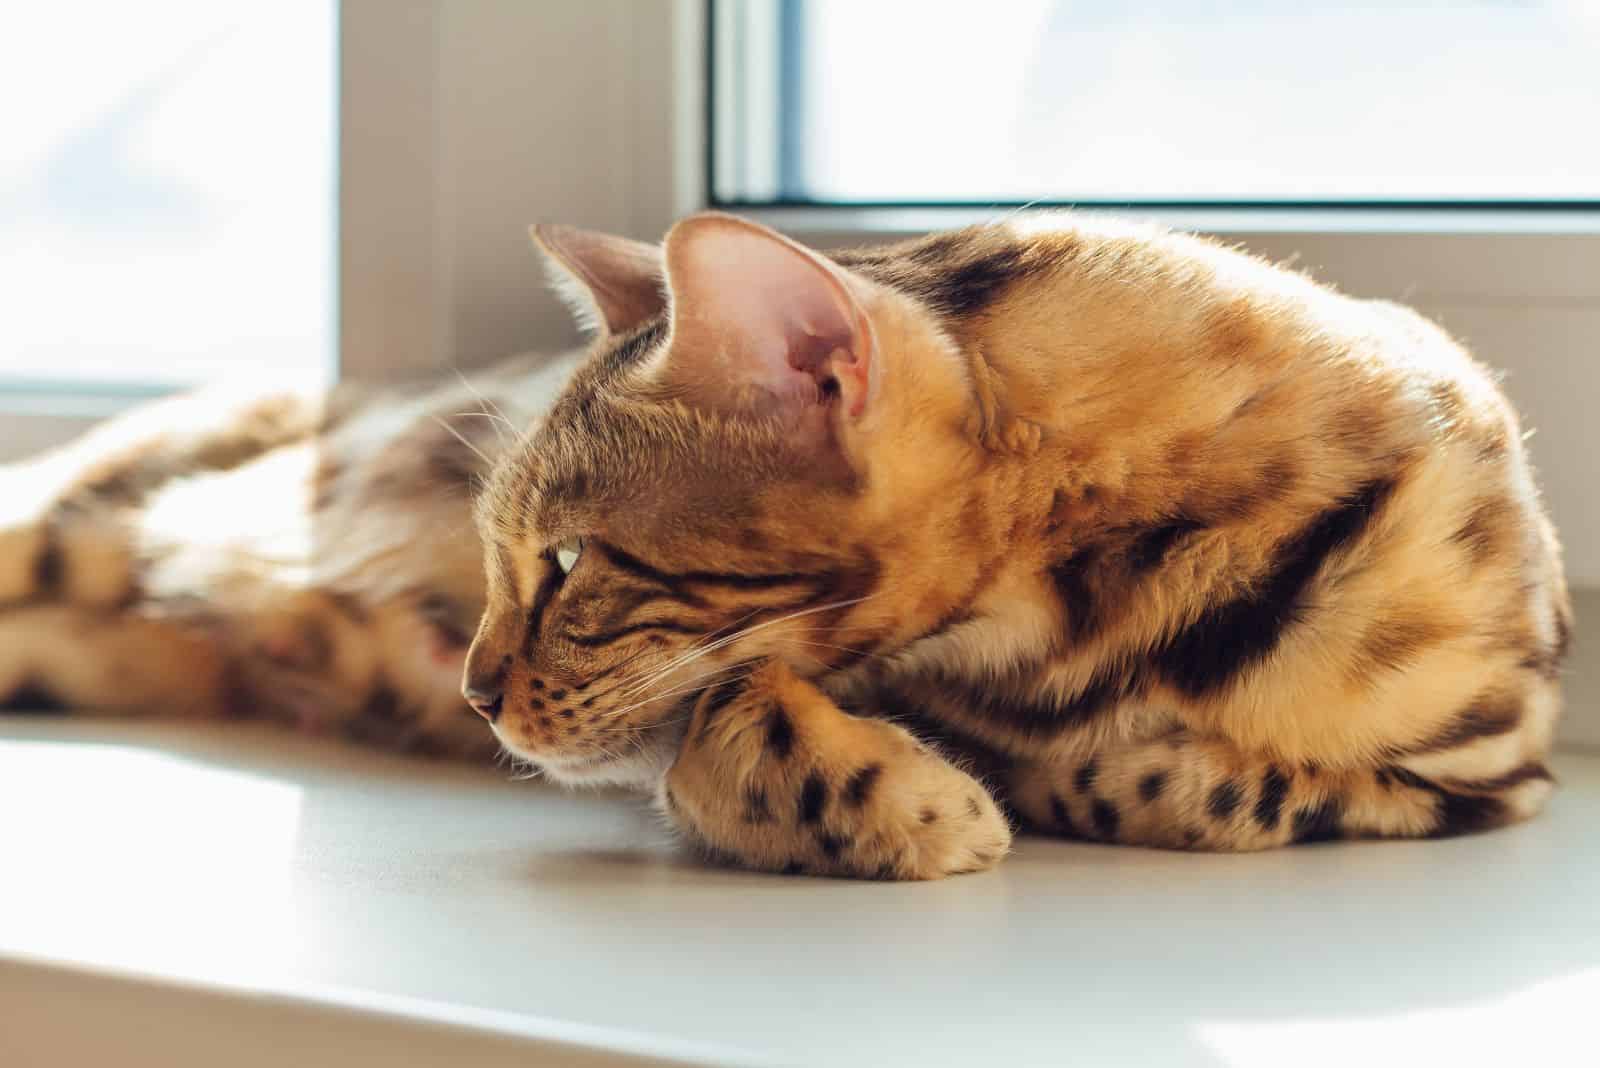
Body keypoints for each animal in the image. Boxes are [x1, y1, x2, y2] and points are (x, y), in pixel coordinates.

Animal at [457, 212, 1568, 882]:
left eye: (569, 564)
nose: (475, 695)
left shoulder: (1496, 770)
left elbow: (1202, 787)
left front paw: (1027, 785)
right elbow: (719, 721)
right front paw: (925, 808)